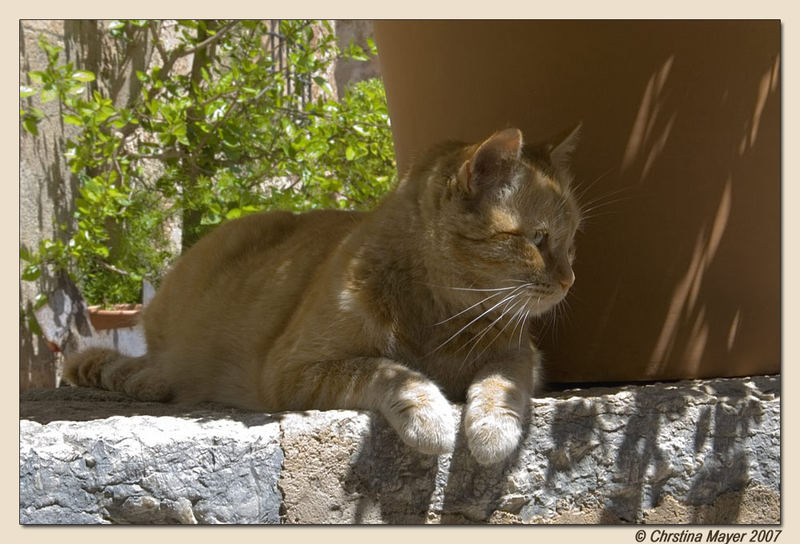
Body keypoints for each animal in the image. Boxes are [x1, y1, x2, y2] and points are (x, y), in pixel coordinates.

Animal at [65, 126, 580, 464]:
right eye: (538, 239)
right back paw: (143, 378)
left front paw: (492, 430)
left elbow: (501, 384)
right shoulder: (293, 371)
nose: (569, 280)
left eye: (572, 239)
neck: (441, 316)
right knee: (145, 363)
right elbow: (391, 371)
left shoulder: (521, 356)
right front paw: (431, 418)